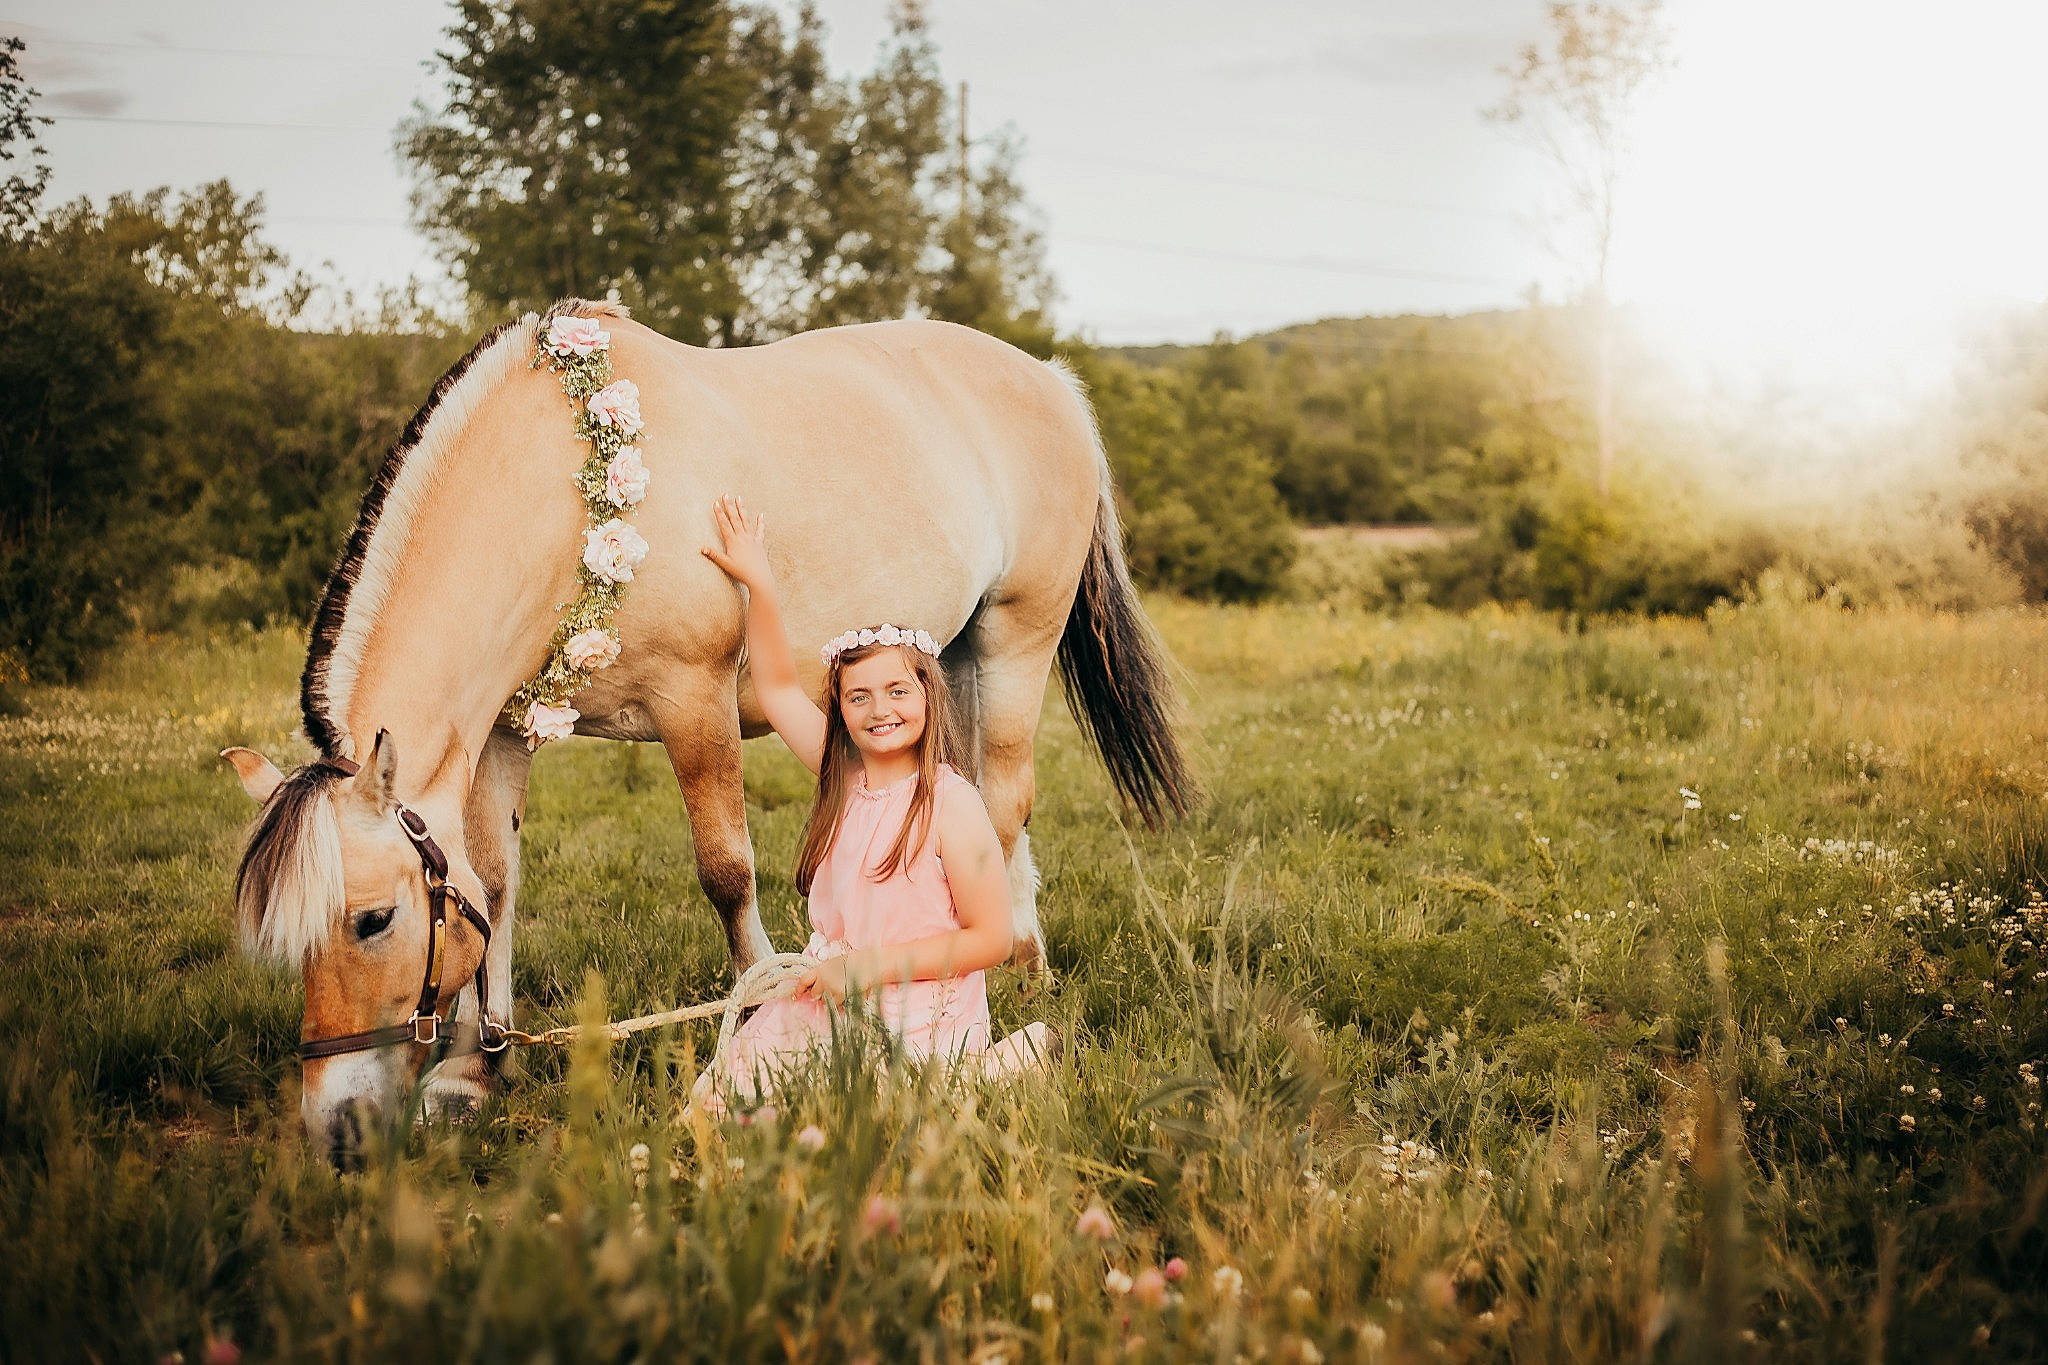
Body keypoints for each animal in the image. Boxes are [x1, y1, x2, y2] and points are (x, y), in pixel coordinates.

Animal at [220, 300, 1193, 1160]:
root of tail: (1049, 379)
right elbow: (492, 884)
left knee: (1002, 797)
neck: (569, 490)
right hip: (946, 655)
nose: (336, 1133)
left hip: (1016, 637)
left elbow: (726, 872)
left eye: (374, 920)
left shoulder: (696, 702)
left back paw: (1005, 966)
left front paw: (760, 1010)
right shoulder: (503, 729)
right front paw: (471, 1070)